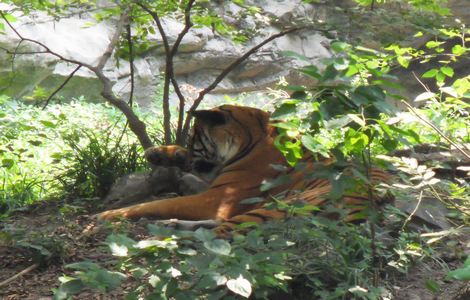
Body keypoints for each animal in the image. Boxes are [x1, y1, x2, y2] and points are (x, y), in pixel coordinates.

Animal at [97, 104, 394, 236]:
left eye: (193, 138)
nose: (191, 161)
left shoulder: (219, 197)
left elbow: (157, 204)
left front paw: (107, 215)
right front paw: (158, 153)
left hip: (285, 204)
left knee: (221, 234)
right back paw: (172, 225)